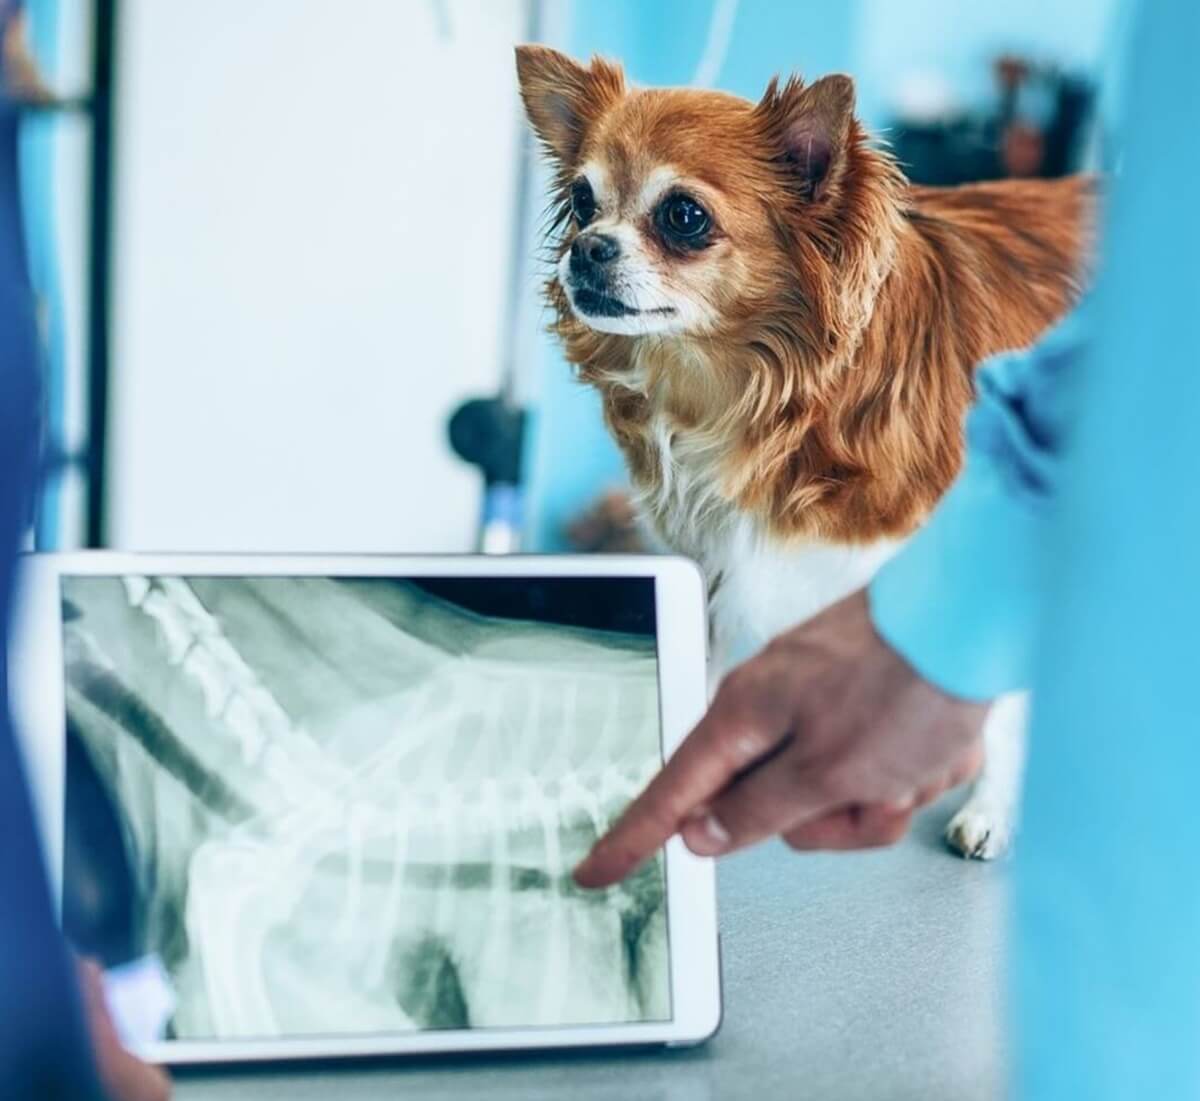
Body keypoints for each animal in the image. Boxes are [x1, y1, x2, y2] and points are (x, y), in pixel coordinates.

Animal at [516, 45, 1089, 863]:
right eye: (583, 199)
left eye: (684, 216)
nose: (585, 247)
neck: (752, 396)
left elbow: (993, 701)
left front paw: (992, 810)